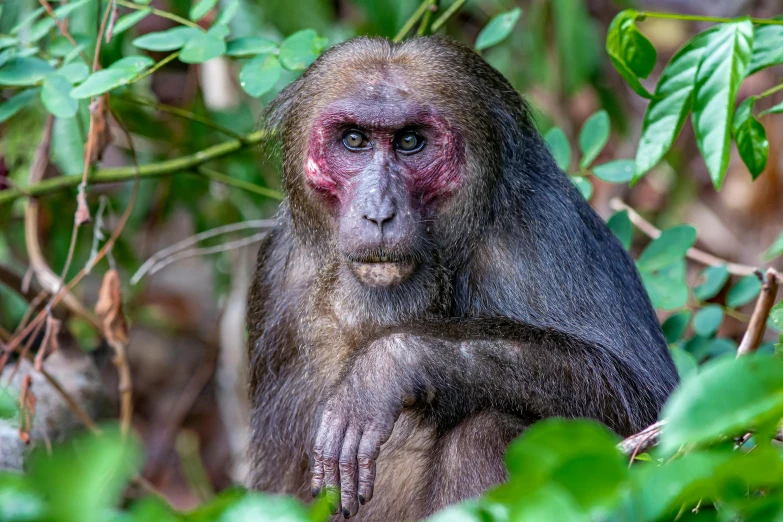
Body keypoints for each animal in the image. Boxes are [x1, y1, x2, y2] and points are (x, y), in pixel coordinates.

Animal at [247, 36, 680, 520]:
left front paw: (386, 368)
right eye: (354, 140)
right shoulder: (277, 271)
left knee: (483, 431)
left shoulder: (545, 232)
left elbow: (644, 401)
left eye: (410, 142)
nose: (379, 211)